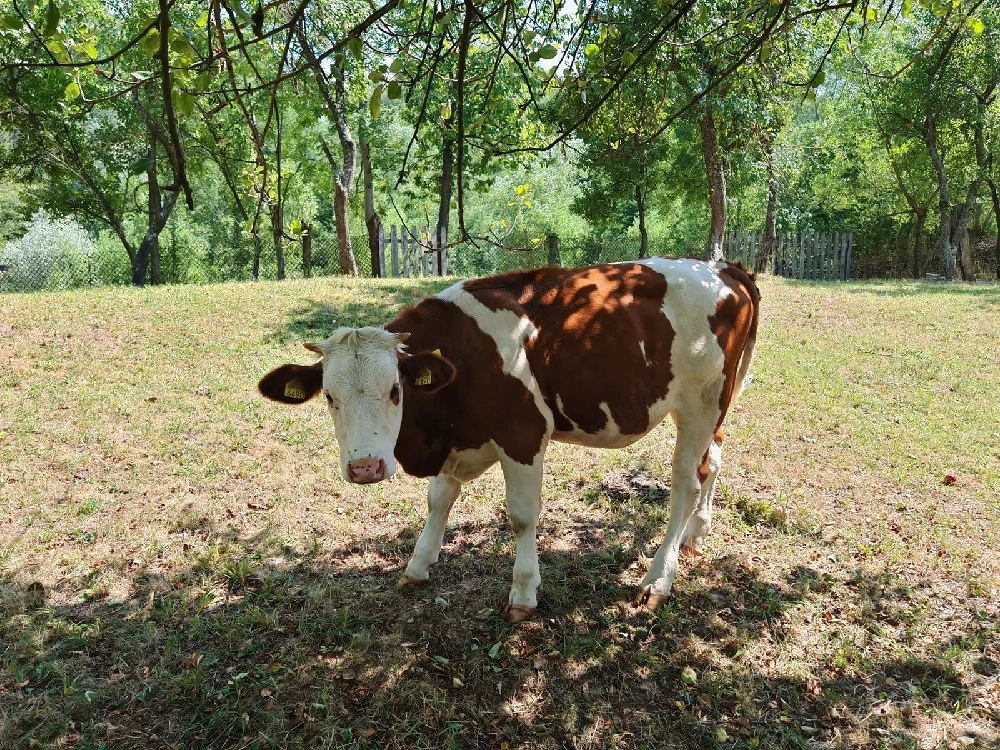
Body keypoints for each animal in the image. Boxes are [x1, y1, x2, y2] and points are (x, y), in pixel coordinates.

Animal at [258, 258, 759, 622]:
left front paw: (523, 591)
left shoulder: (523, 434)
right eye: (329, 397)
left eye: (395, 390)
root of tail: (724, 269)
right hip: (715, 407)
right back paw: (696, 534)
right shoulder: (462, 438)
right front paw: (418, 565)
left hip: (701, 403)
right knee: (712, 461)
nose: (365, 468)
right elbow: (439, 499)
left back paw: (659, 578)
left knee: (685, 483)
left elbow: (521, 516)